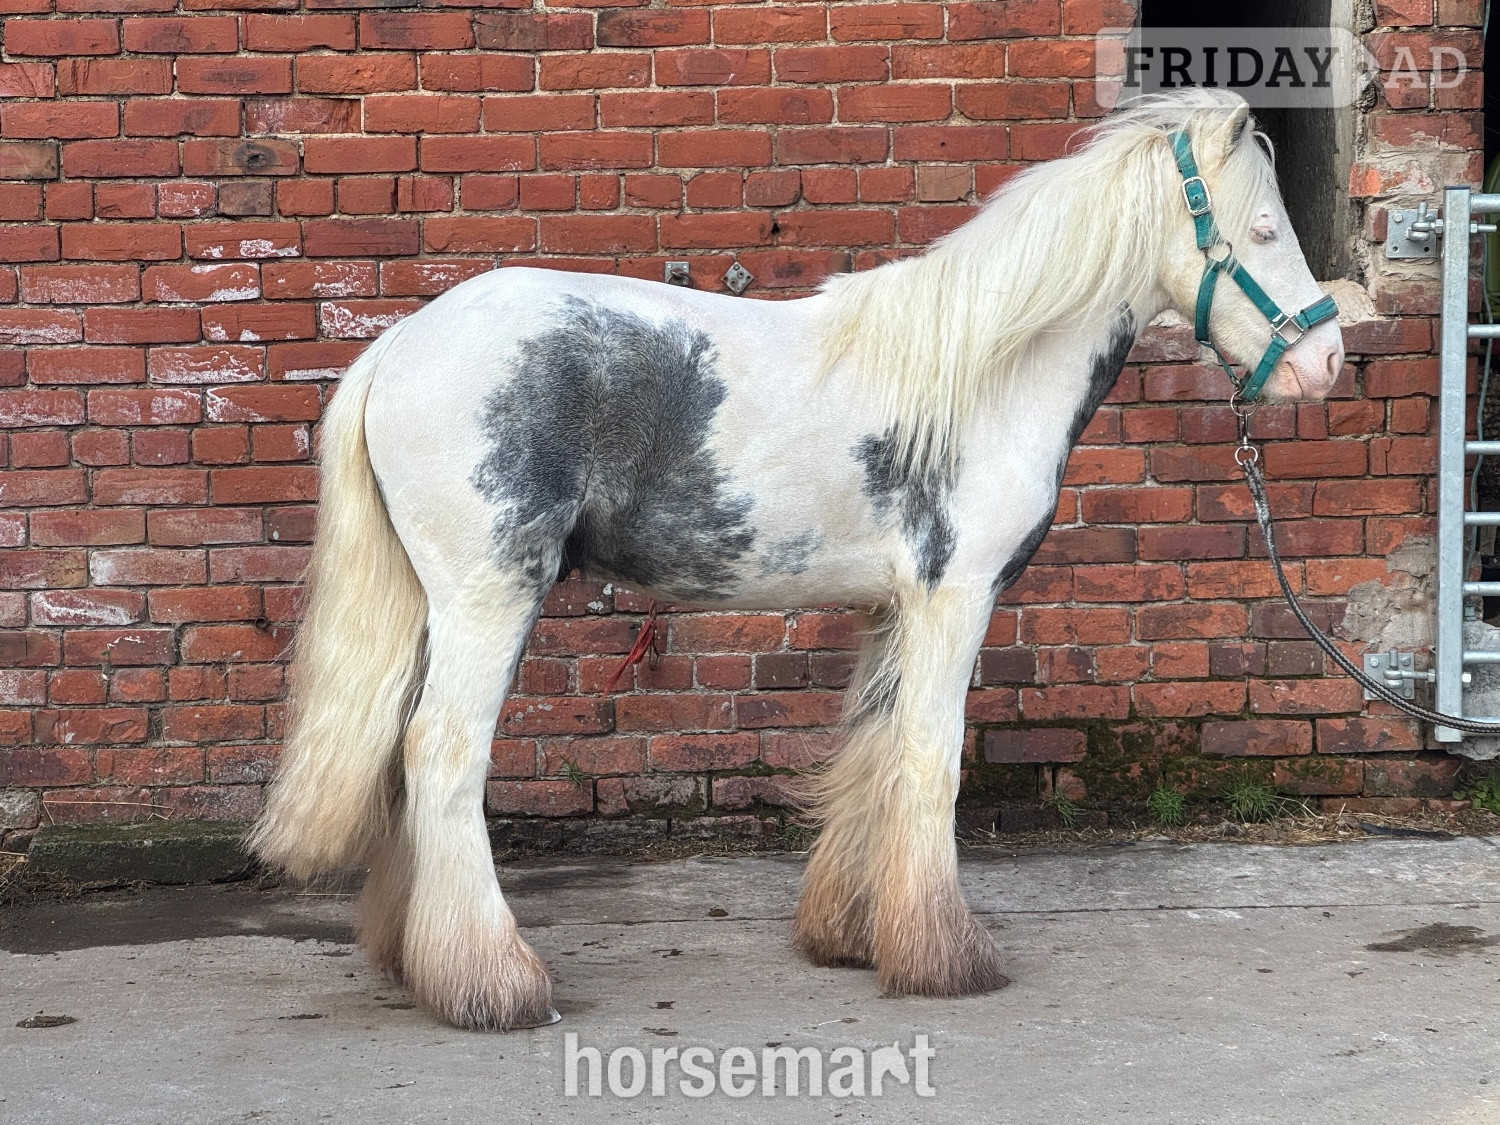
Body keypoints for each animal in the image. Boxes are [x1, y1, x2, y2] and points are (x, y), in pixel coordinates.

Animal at [249, 88, 1345, 1031]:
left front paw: (857, 938)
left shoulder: (893, 609)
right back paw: (494, 984)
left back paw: (418, 963)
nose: (1324, 362)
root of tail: (397, 348)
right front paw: (947, 958)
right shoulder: (954, 600)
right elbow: (930, 761)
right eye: (1261, 230)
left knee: (401, 755)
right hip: (489, 595)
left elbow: (872, 753)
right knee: (442, 753)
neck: (982, 375)